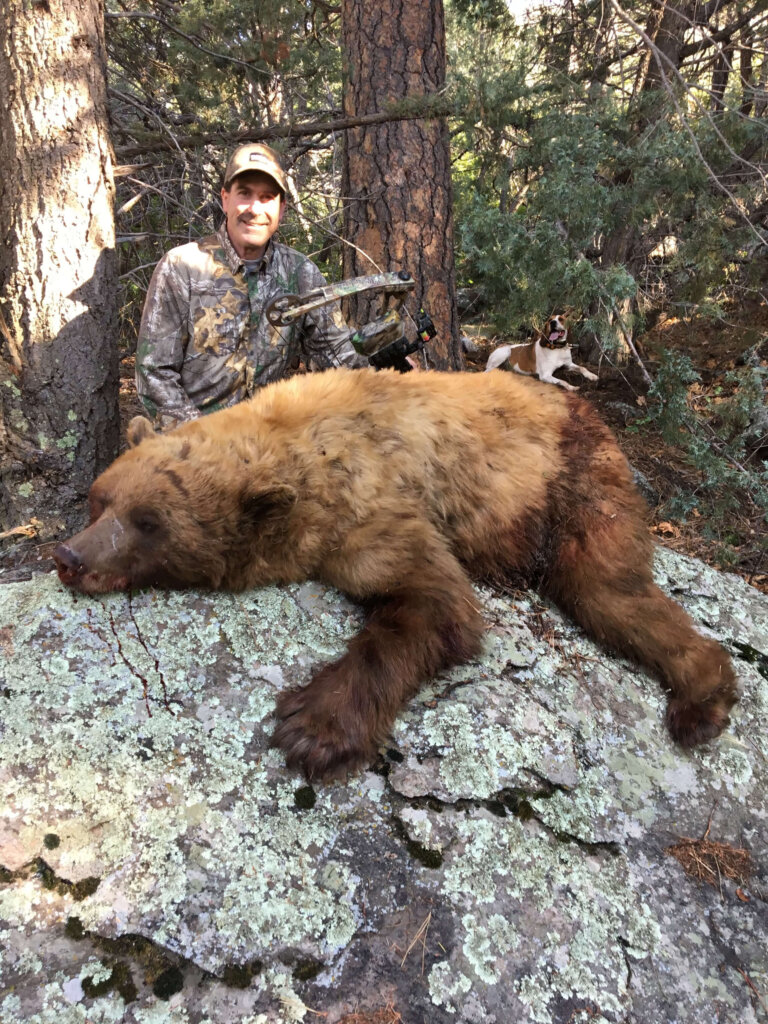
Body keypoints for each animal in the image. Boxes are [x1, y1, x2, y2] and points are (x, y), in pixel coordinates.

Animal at [54, 366, 741, 774]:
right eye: (99, 499)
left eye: (149, 522)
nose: (70, 558)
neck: (301, 450)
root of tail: (592, 409)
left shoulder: (375, 504)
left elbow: (436, 605)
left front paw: (314, 725)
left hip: (574, 481)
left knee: (607, 586)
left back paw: (700, 701)